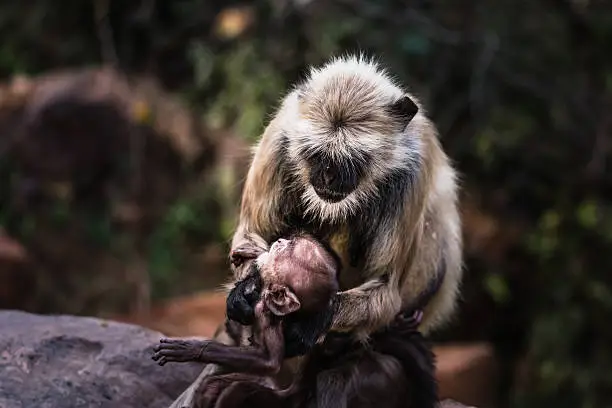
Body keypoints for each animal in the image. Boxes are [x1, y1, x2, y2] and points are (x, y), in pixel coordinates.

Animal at [150, 236, 338, 408]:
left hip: (274, 399)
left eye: (286, 248)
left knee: (234, 390)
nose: (280, 240)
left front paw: (193, 349)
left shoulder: (265, 312)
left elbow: (269, 361)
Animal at [167, 53, 464, 404]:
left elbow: (385, 290)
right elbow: (248, 241)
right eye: (317, 155)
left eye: (352, 160)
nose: (327, 176)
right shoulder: (280, 137)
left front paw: (315, 319)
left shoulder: (411, 174)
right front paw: (247, 291)